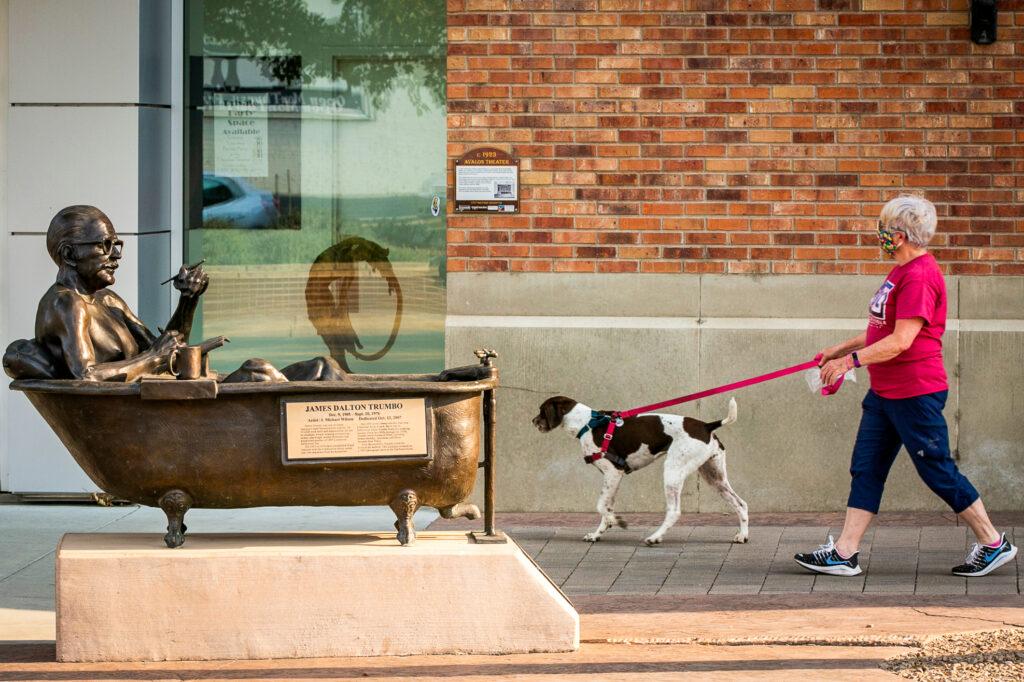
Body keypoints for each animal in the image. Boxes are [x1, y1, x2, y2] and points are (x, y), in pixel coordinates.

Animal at [536, 395, 745, 544]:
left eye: (542, 411)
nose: (533, 421)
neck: (586, 423)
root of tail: (707, 426)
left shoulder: (613, 472)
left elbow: (601, 506)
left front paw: (617, 521)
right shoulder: (612, 478)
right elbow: (606, 507)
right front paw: (598, 533)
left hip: (673, 472)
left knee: (674, 511)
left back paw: (655, 537)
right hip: (714, 477)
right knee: (740, 504)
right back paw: (742, 536)